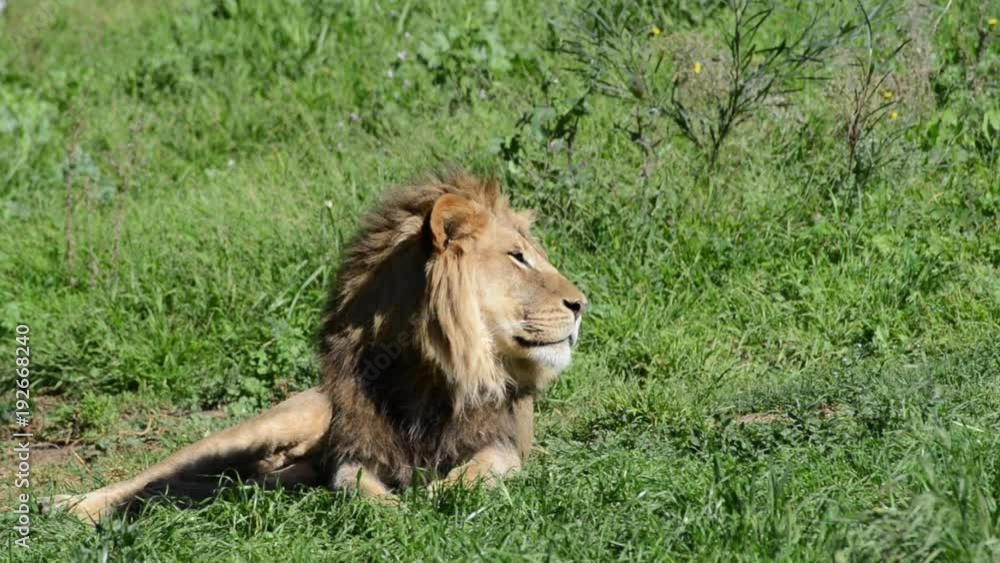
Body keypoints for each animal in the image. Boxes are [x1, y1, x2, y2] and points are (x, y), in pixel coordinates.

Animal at [43, 170, 588, 523]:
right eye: (518, 258)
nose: (582, 303)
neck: (429, 371)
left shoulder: (500, 446)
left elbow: (473, 475)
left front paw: (434, 498)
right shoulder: (355, 451)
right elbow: (355, 486)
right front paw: (391, 510)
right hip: (257, 430)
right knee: (149, 480)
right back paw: (63, 507)